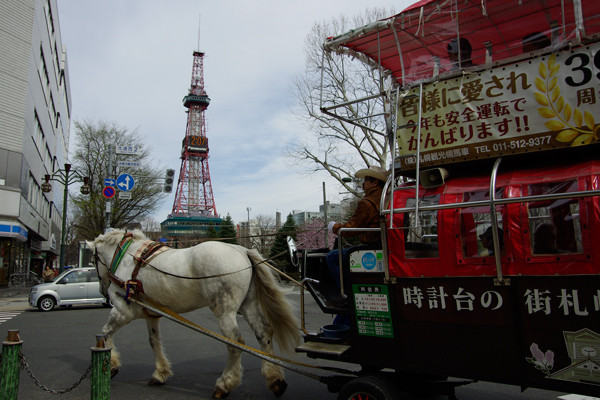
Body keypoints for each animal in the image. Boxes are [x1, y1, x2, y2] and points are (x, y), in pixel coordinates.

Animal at [86, 230, 298, 398]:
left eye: (93, 261)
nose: (103, 293)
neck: (126, 258)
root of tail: (242, 250)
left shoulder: (123, 310)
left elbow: (105, 333)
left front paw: (111, 365)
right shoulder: (151, 314)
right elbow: (154, 342)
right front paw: (160, 373)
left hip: (224, 309)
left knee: (235, 343)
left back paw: (224, 384)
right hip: (248, 304)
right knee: (263, 334)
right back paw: (275, 379)